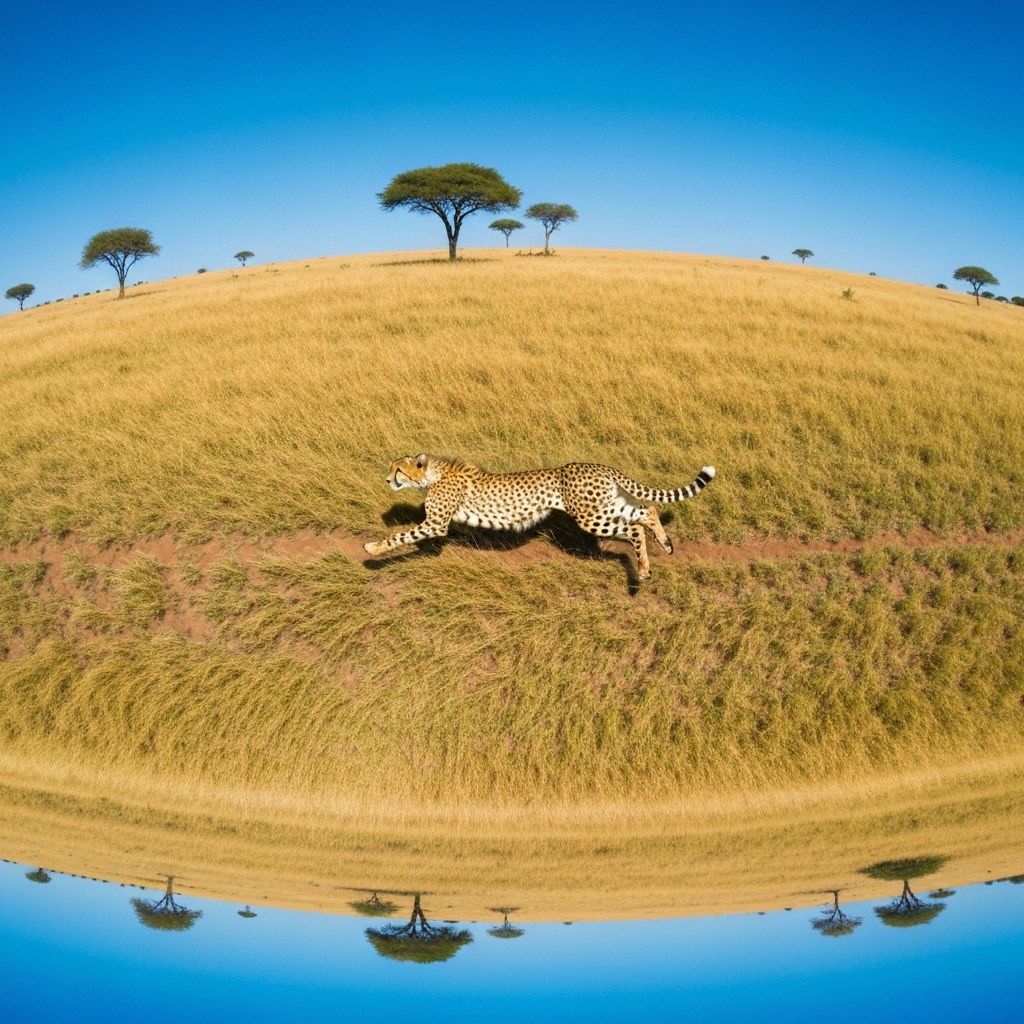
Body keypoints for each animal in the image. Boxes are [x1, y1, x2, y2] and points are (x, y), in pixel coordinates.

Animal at [363, 454, 715, 582]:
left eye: (398, 469)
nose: (387, 480)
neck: (434, 474)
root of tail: (595, 465)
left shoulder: (435, 524)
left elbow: (399, 536)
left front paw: (371, 549)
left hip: (592, 516)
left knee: (634, 528)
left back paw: (642, 569)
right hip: (604, 507)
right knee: (646, 512)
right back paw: (663, 547)